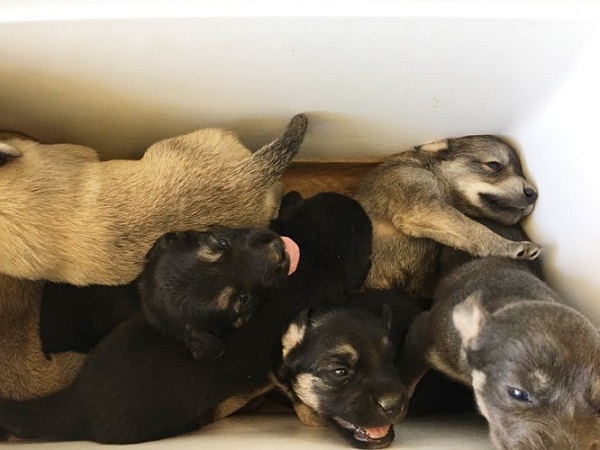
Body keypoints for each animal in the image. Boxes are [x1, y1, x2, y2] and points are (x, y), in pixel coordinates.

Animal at [354, 134, 540, 298]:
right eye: (494, 165)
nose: (533, 194)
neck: (431, 171)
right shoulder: (419, 206)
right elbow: (476, 228)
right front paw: (511, 247)